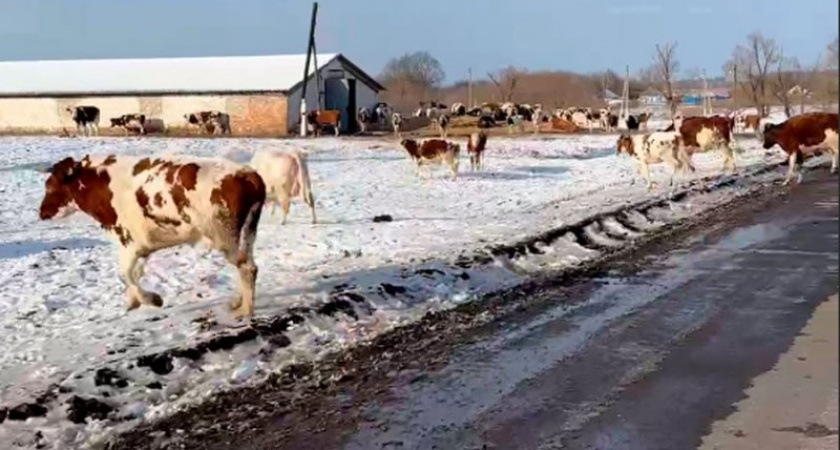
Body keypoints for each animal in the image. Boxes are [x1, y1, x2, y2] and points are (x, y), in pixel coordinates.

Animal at [38, 155, 266, 316]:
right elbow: (135, 273)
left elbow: (125, 274)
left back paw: (246, 310)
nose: (41, 212)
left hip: (226, 237)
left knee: (247, 268)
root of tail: (248, 174)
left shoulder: (128, 241)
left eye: (50, 186)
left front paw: (151, 299)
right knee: (247, 266)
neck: (104, 184)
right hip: (247, 234)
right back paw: (238, 301)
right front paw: (133, 301)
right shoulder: (142, 246)